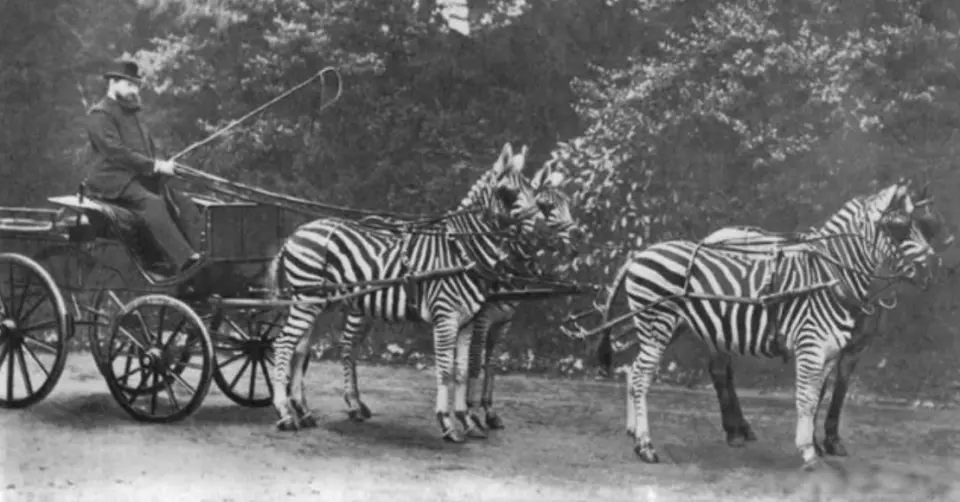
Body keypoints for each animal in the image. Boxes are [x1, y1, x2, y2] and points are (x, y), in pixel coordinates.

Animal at [266, 143, 549, 442]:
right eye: (509, 192)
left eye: (533, 191)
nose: (543, 231)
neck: (461, 251)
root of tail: (296, 233)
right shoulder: (446, 318)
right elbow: (446, 370)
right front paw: (447, 423)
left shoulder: (468, 322)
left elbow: (461, 371)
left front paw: (467, 421)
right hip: (307, 301)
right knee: (284, 345)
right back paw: (285, 414)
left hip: (318, 302)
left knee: (300, 349)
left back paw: (304, 411)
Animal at [592, 179, 940, 469]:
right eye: (898, 229)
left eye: (927, 226)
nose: (929, 271)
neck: (831, 275)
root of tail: (638, 255)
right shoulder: (812, 346)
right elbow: (806, 398)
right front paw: (809, 452)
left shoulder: (833, 351)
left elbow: (820, 396)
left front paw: (817, 444)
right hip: (657, 324)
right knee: (643, 377)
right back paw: (647, 446)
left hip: (673, 325)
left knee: (634, 370)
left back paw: (635, 432)